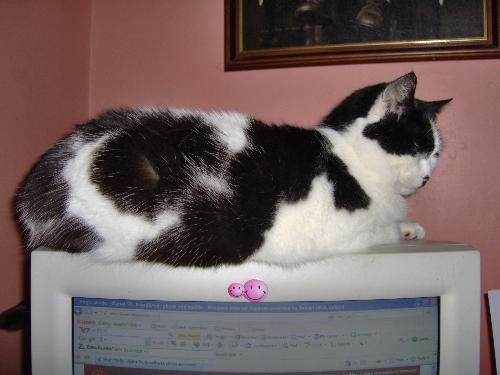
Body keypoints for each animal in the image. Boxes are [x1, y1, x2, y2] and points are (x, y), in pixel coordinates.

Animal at [13, 72, 452, 268]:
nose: (428, 176)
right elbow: (382, 228)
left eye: (435, 154)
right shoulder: (340, 232)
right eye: (419, 148)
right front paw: (405, 227)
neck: (349, 158)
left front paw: (411, 227)